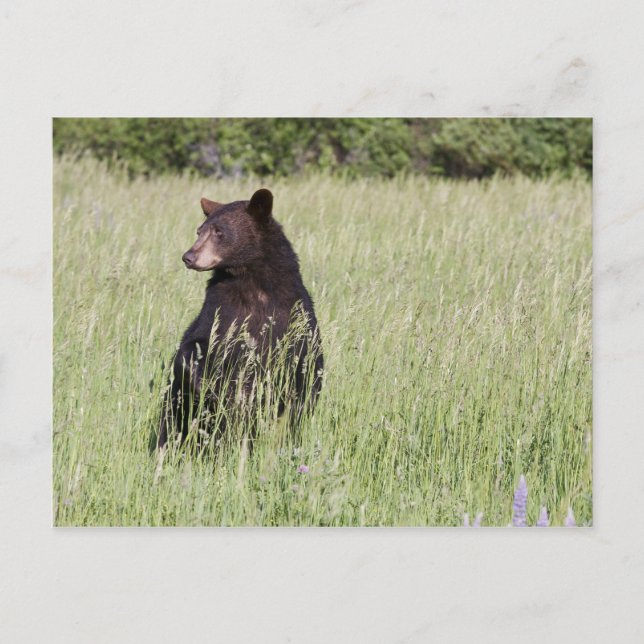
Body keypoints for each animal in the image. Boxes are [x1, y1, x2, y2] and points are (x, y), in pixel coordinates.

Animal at [157, 188, 323, 449]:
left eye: (219, 232)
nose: (189, 257)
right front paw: (212, 387)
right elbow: (194, 346)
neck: (252, 282)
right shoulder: (219, 310)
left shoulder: (293, 315)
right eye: (199, 231)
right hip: (177, 411)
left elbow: (305, 366)